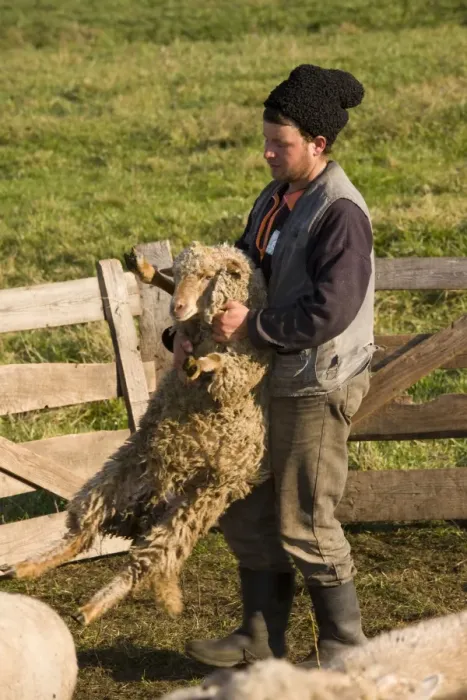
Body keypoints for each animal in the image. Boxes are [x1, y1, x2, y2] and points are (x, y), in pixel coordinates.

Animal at [0, 242, 270, 626]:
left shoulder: (245, 367)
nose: (178, 308)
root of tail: (163, 495)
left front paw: (203, 363)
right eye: (181, 271)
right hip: (110, 481)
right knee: (82, 535)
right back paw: (25, 569)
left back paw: (91, 608)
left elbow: (224, 366)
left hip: (195, 507)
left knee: (143, 564)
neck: (205, 326)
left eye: (207, 276)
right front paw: (145, 270)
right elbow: (167, 289)